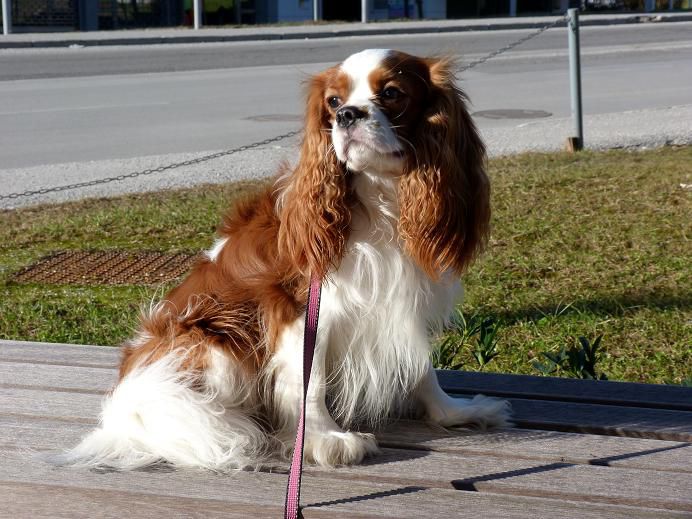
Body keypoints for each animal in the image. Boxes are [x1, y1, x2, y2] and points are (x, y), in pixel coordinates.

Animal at [62, 49, 510, 472]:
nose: (347, 115)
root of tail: (127, 397)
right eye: (333, 102)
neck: (381, 197)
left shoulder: (403, 298)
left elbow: (420, 367)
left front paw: (452, 412)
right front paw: (325, 438)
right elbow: (309, 382)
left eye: (391, 93)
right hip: (215, 339)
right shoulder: (303, 309)